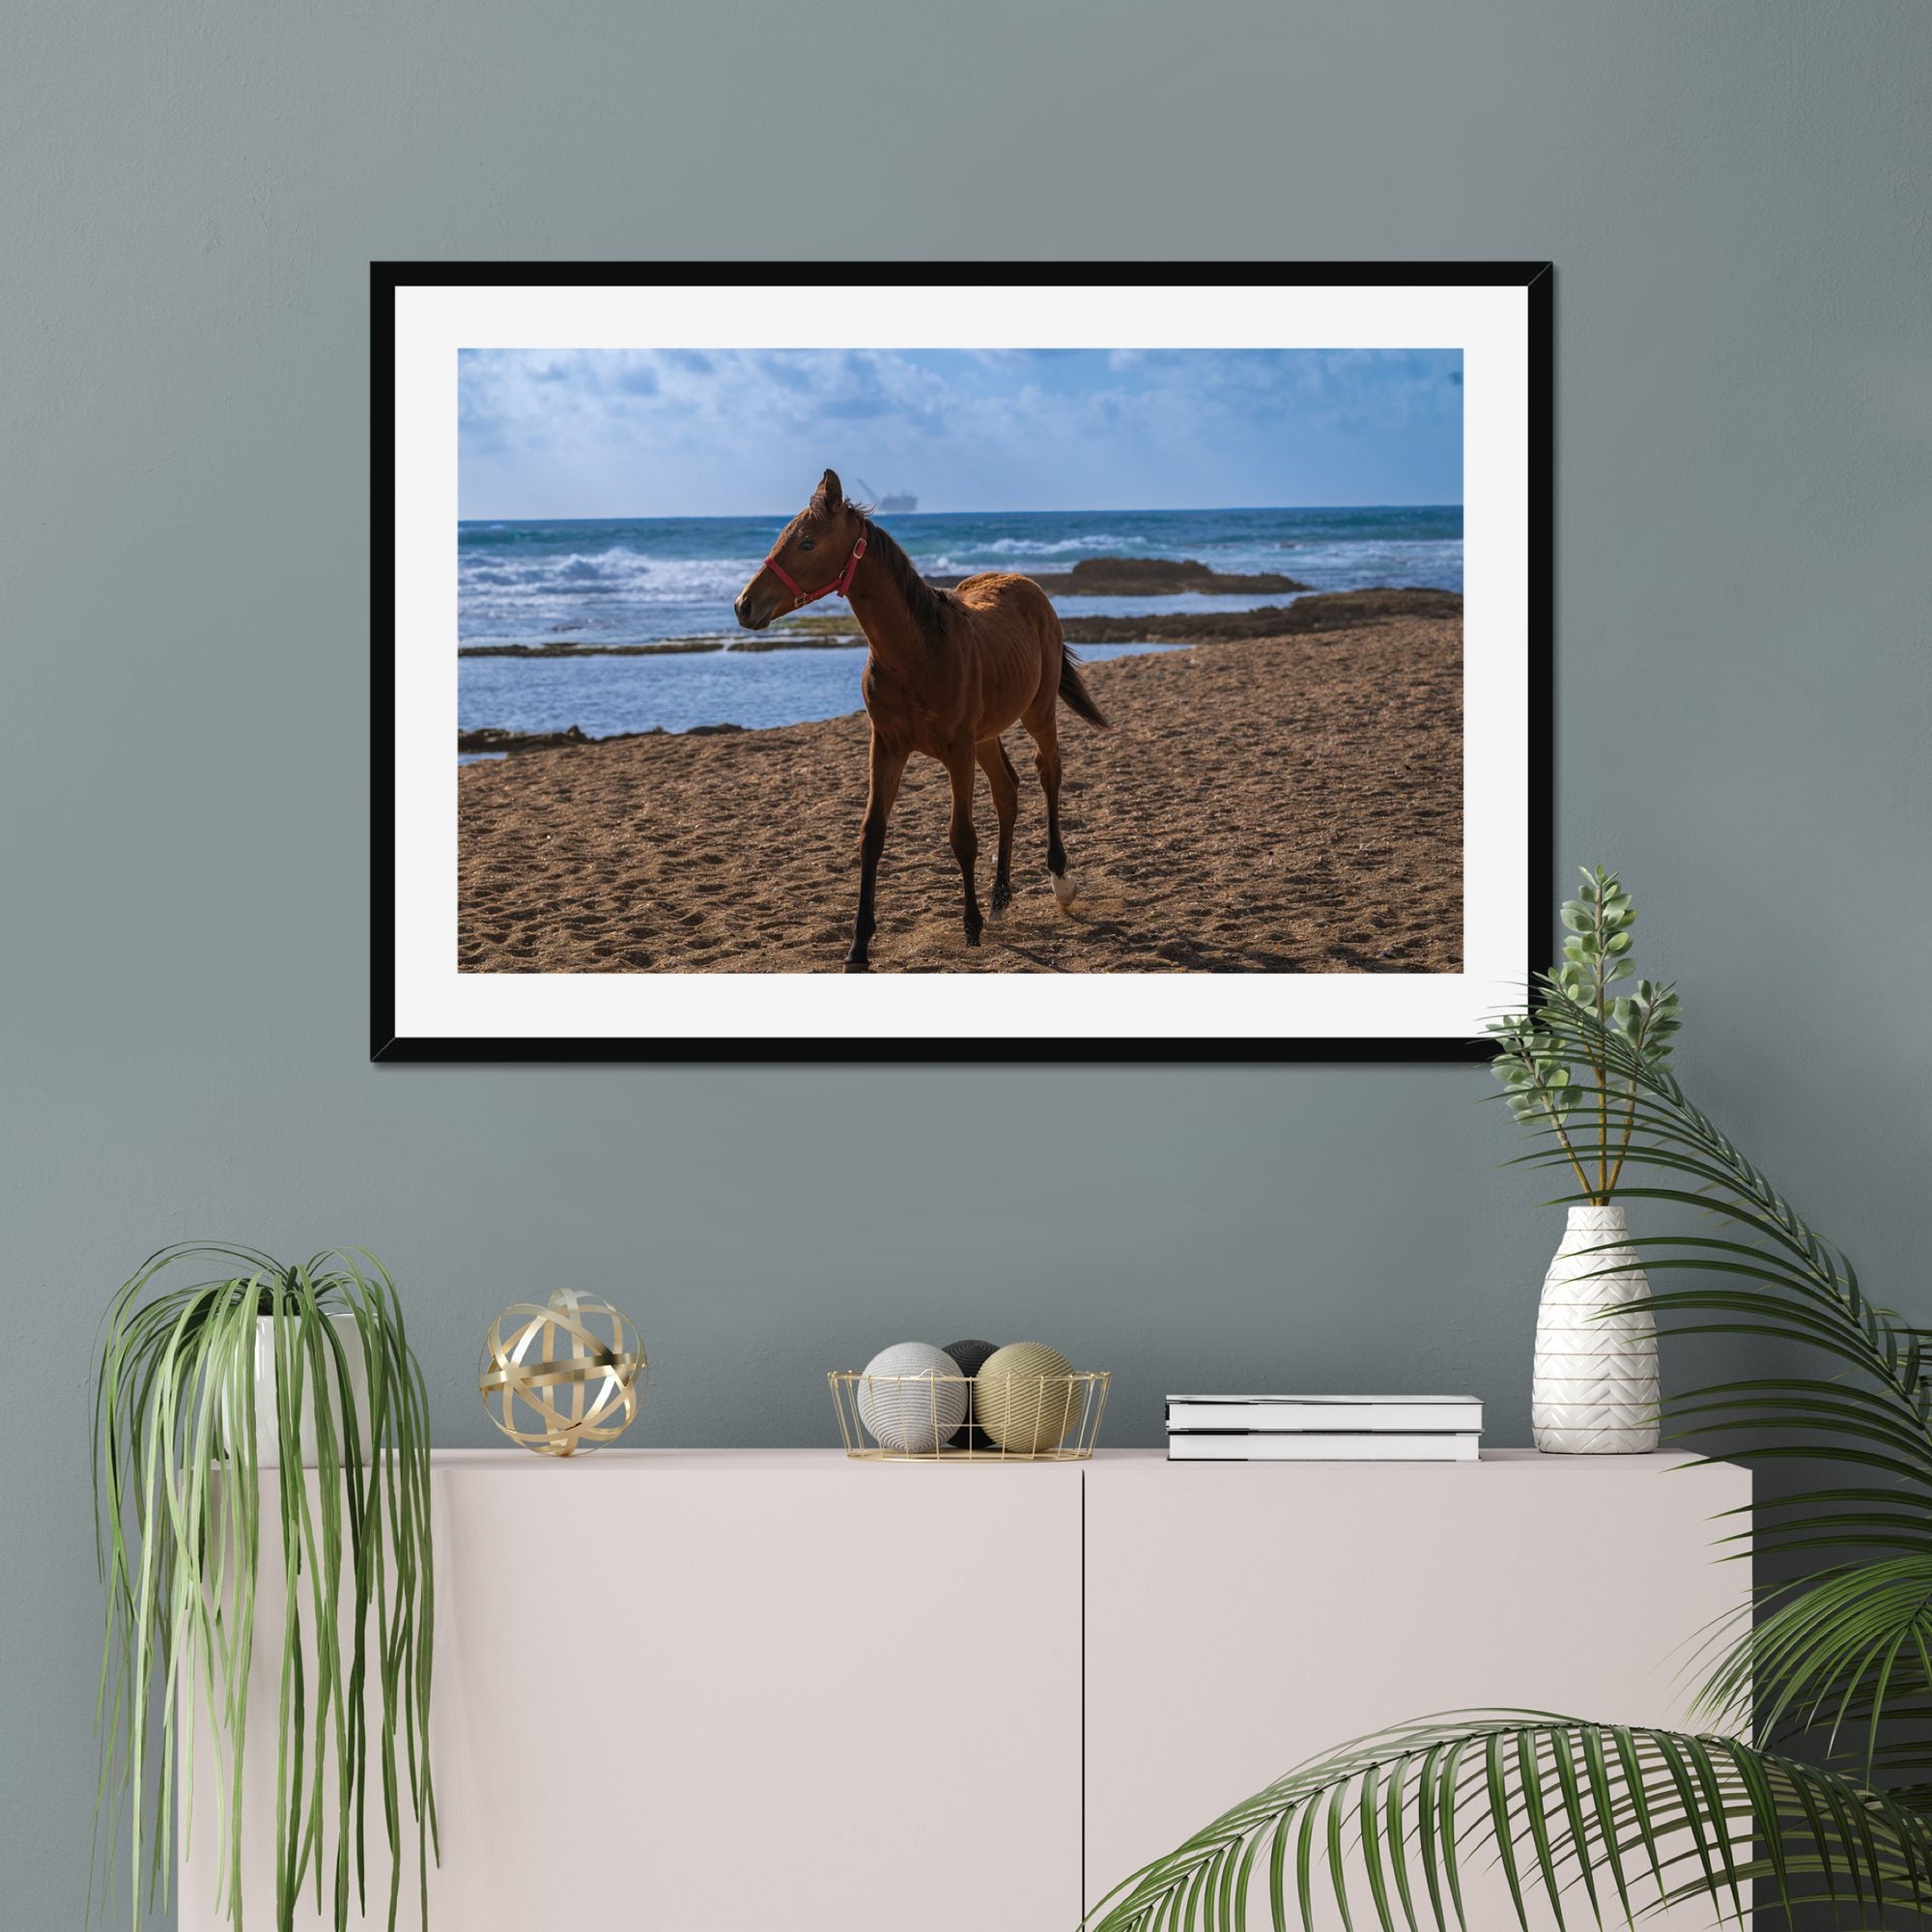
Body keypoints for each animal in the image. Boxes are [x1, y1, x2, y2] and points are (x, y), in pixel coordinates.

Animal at [734, 469, 1110, 973]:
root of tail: (1027, 584)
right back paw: (1000, 897)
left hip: (1037, 710)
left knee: (1048, 772)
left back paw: (1059, 881)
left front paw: (971, 927)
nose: (744, 606)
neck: (917, 653)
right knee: (1007, 791)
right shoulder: (887, 746)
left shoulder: (957, 751)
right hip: (987, 735)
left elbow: (962, 837)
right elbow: (872, 836)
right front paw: (858, 948)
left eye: (808, 543)